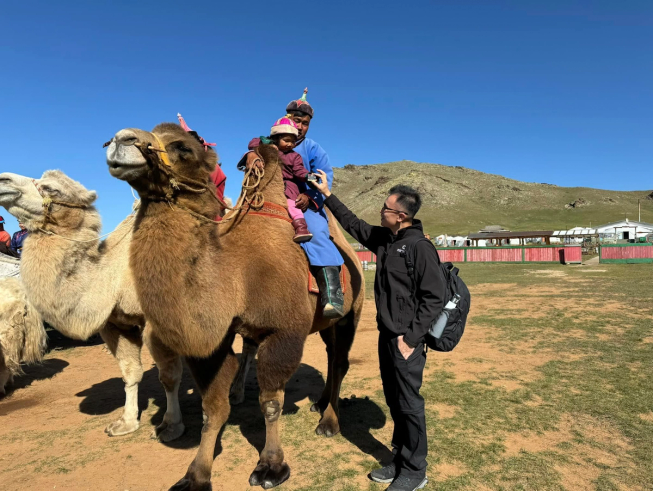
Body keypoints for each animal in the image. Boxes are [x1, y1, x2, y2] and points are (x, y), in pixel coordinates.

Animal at [104, 123, 364, 491]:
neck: (237, 271)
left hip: (351, 313)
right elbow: (213, 407)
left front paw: (271, 466)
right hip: (325, 324)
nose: (121, 139)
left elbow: (271, 403)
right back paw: (320, 403)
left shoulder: (283, 332)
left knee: (340, 361)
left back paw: (329, 423)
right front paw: (195, 475)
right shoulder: (215, 341)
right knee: (330, 356)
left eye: (183, 147)